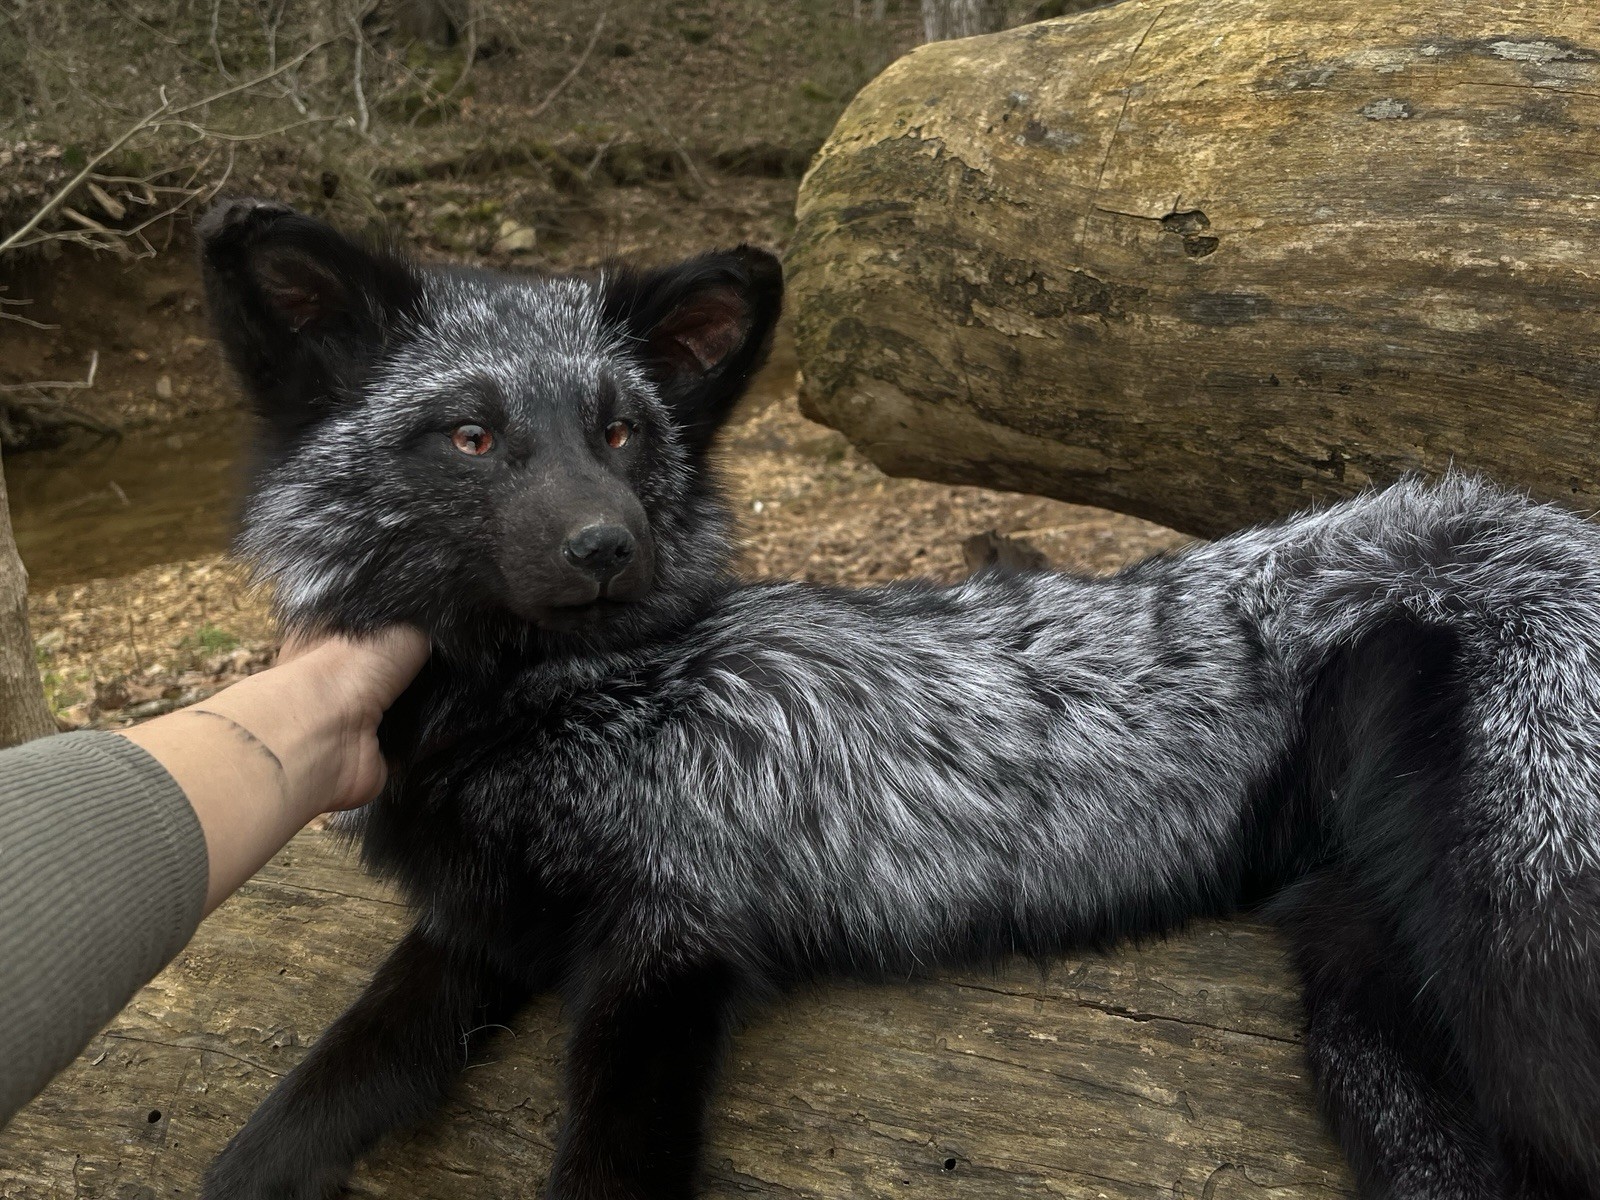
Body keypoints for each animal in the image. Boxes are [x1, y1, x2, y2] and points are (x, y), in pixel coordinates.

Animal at [197, 197, 1600, 1200]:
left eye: (619, 432)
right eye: (472, 437)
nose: (607, 548)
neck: (555, 709)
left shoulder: (669, 938)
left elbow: (599, 1167)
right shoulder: (487, 926)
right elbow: (321, 1091)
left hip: (1512, 974)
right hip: (1358, 982)